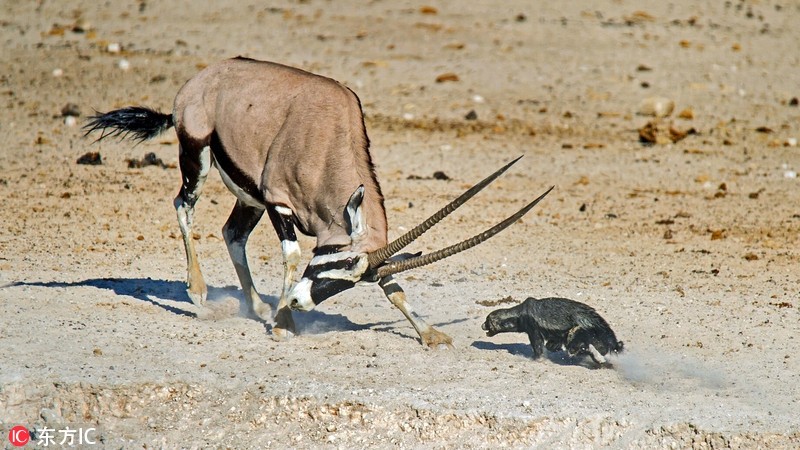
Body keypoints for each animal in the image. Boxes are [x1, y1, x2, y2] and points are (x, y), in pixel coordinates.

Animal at [84, 54, 552, 346]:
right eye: (332, 264)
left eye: (351, 278)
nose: (298, 302)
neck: (327, 140)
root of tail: (201, 79)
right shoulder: (280, 204)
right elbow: (292, 256)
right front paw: (283, 324)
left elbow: (392, 285)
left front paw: (429, 333)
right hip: (197, 157)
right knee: (184, 206)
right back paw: (201, 294)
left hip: (248, 197)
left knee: (233, 233)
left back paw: (258, 305)